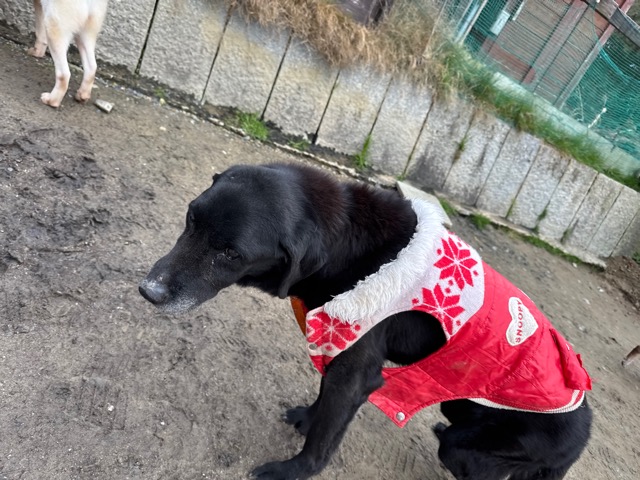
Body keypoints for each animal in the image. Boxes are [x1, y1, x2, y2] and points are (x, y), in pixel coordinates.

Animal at [139, 163, 593, 480]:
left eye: (231, 253)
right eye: (191, 218)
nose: (149, 292)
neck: (345, 249)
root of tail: (583, 436)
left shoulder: (356, 372)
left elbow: (323, 439)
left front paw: (291, 471)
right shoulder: (337, 349)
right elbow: (323, 404)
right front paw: (307, 418)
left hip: (471, 444)